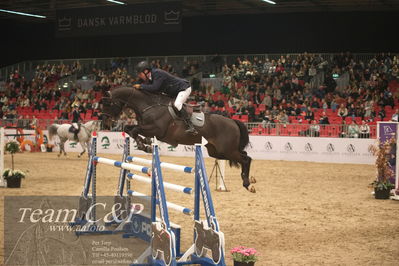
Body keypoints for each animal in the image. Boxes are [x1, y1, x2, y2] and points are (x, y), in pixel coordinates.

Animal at [102, 86, 253, 190]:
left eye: (108, 104)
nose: (107, 121)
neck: (149, 105)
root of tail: (233, 121)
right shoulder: (147, 128)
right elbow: (129, 129)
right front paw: (145, 143)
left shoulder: (156, 130)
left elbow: (134, 130)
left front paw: (144, 145)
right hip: (217, 152)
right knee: (244, 155)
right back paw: (248, 181)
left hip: (227, 150)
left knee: (246, 159)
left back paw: (248, 183)